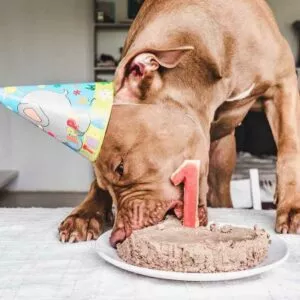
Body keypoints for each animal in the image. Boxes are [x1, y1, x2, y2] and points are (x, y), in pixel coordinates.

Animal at [58, 0, 300, 244]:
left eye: (121, 168)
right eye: (106, 184)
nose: (118, 237)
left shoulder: (284, 85)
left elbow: (289, 149)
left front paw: (292, 207)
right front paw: (87, 214)